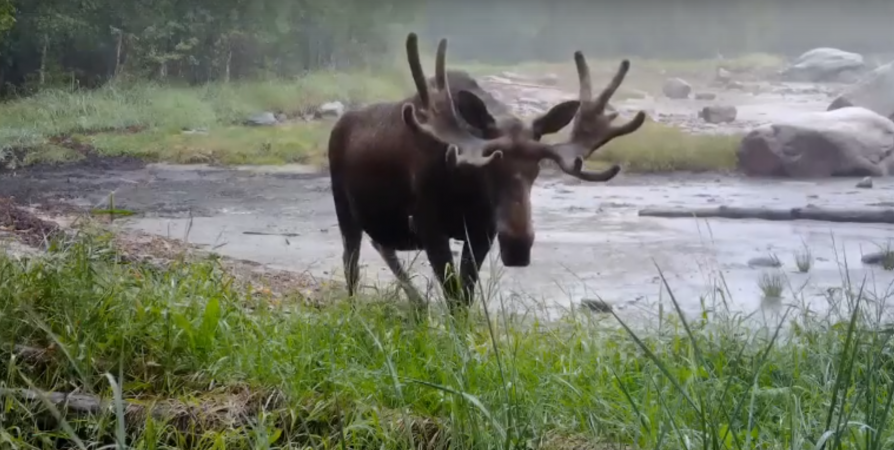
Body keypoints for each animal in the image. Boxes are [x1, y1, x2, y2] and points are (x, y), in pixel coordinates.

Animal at [328, 31, 644, 314]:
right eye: (490, 166)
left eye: (536, 168)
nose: (518, 247)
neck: (466, 188)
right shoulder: (428, 224)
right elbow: (453, 294)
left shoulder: (483, 232)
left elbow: (465, 296)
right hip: (344, 208)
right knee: (351, 264)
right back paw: (357, 311)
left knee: (382, 245)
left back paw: (417, 304)